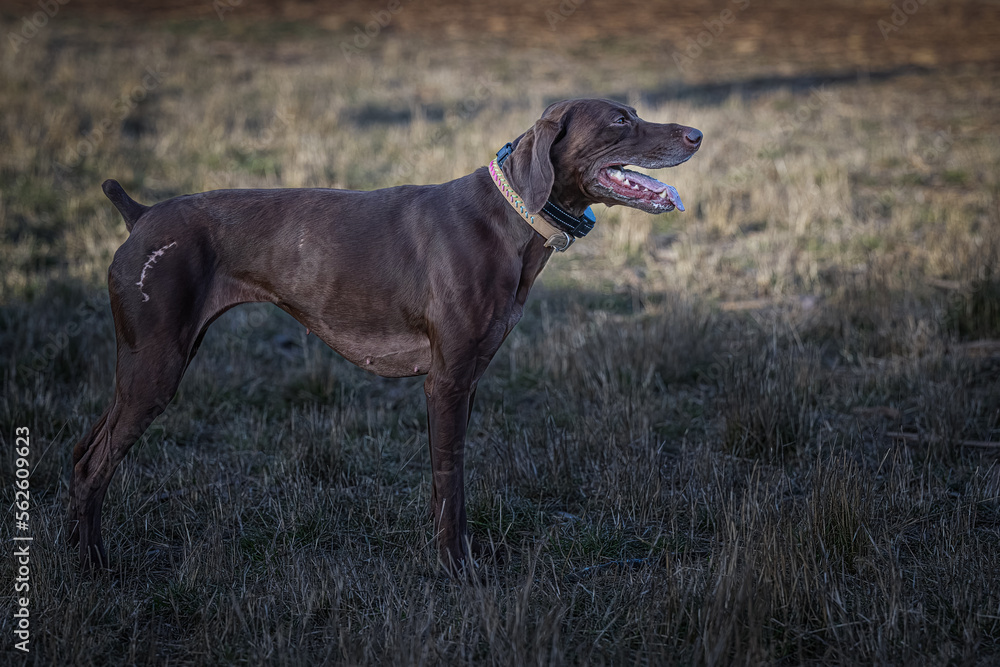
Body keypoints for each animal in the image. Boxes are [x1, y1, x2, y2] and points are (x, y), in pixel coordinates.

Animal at [70, 98, 700, 576]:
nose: (697, 133)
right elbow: (452, 485)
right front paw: (457, 568)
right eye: (620, 119)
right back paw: (94, 565)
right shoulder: (446, 382)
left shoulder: (467, 380)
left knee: (82, 452)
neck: (510, 218)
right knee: (95, 462)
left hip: (146, 365)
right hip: (155, 366)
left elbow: (446, 484)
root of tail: (141, 216)